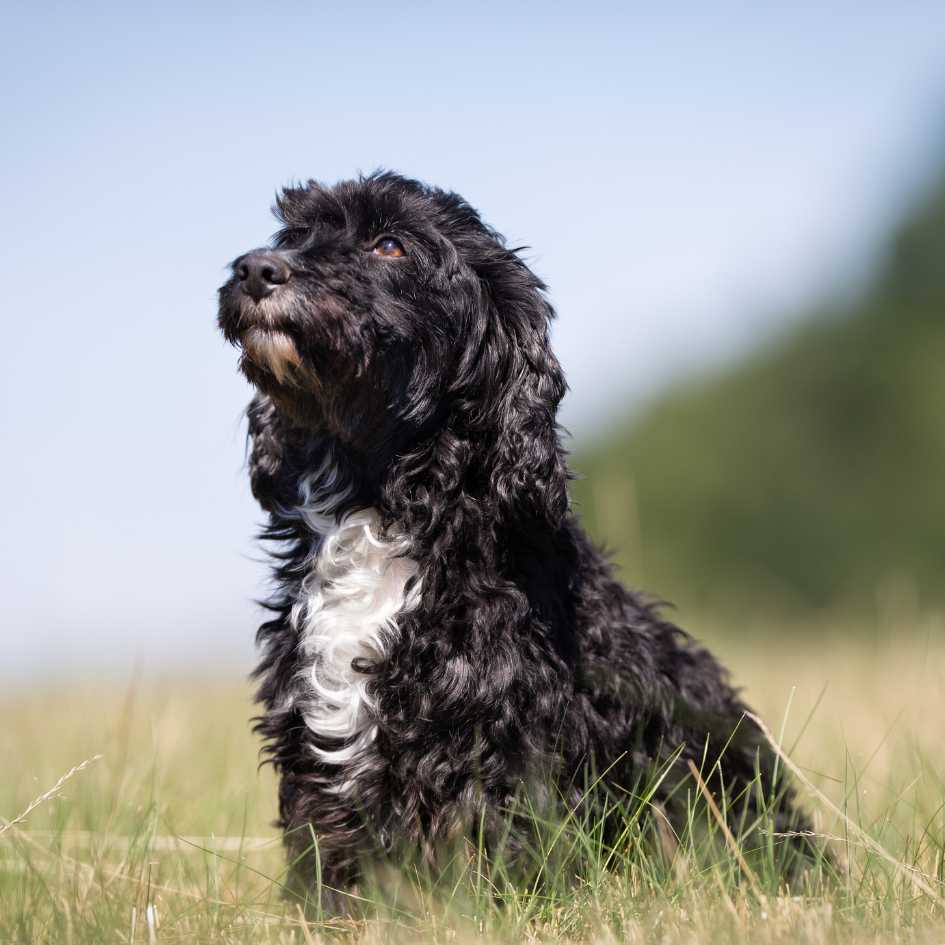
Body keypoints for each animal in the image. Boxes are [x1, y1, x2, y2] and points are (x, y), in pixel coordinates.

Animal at [216, 170, 812, 908]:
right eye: (296, 233)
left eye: (389, 245)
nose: (255, 269)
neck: (384, 508)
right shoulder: (317, 748)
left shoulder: (489, 758)